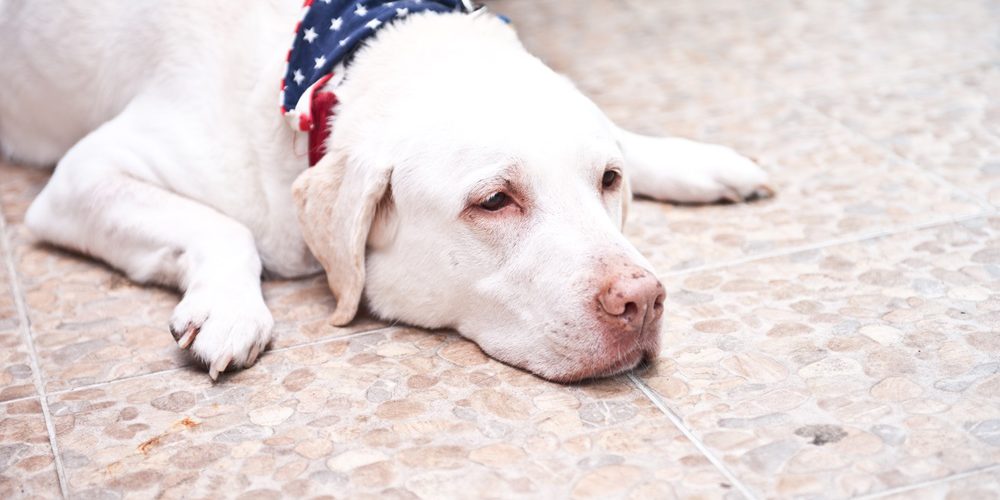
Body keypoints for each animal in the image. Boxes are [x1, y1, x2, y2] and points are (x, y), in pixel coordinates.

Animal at [0, 0, 772, 382]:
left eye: (607, 181)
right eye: (495, 201)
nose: (643, 301)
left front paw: (693, 159)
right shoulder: (83, 175)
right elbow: (228, 228)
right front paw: (229, 308)